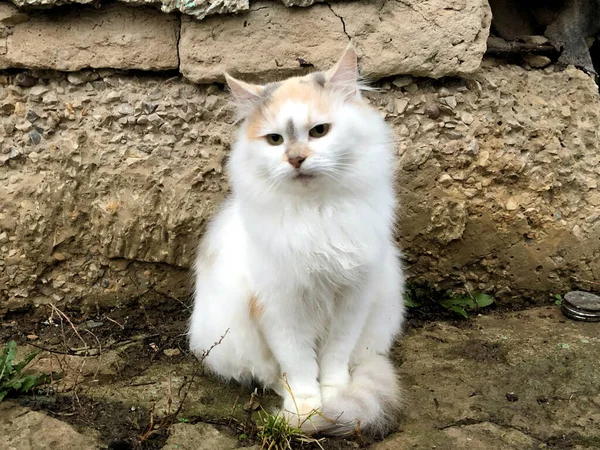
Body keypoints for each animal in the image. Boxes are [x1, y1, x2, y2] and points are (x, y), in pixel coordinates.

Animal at [189, 43, 404, 436]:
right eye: (275, 140)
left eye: (319, 131)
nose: (296, 159)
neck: (316, 212)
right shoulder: (281, 307)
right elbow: (300, 365)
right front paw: (307, 409)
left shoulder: (353, 299)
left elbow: (334, 359)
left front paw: (335, 399)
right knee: (269, 374)